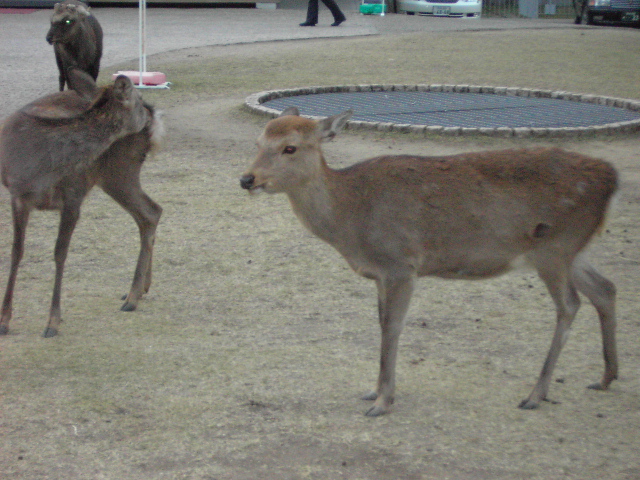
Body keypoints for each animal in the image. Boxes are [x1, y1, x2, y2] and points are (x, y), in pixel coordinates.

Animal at [0, 68, 164, 338]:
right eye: (139, 100)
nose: (152, 113)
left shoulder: (74, 195)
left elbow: (60, 253)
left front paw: (52, 322)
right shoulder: (18, 196)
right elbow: (16, 252)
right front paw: (4, 320)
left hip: (119, 171)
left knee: (151, 212)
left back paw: (133, 296)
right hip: (115, 177)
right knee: (149, 213)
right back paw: (140, 290)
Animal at [238, 108, 616, 416]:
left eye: (290, 147)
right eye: (257, 142)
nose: (247, 179)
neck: (351, 219)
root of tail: (612, 178)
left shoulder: (401, 264)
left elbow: (392, 327)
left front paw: (383, 401)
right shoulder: (380, 273)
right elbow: (381, 323)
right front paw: (374, 391)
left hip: (555, 247)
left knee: (570, 304)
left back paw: (535, 395)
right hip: (572, 250)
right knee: (605, 288)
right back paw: (607, 377)